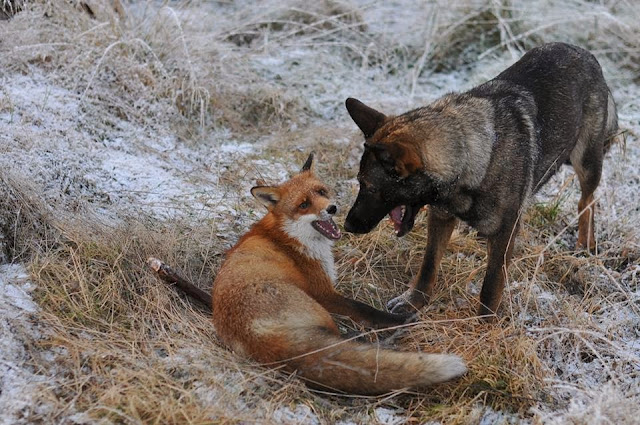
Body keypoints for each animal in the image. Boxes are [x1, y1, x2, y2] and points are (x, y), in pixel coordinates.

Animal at [208, 153, 468, 394]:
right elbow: (364, 309)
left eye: (321, 191)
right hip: (320, 310)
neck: (289, 238)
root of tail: (256, 337)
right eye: (304, 204)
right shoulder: (324, 292)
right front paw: (398, 319)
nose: (332, 208)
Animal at [342, 43, 616, 320]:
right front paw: (413, 301)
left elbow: (491, 285)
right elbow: (429, 265)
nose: (347, 226)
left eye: (370, 187)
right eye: (359, 182)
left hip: (586, 162)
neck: (470, 157)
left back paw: (584, 244)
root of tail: (583, 52)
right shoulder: (440, 217)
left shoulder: (505, 231)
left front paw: (485, 323)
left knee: (587, 200)